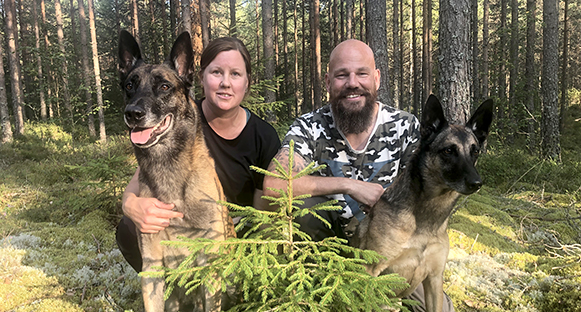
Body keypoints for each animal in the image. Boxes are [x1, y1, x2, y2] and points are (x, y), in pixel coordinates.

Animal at [118, 29, 236, 312]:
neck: (169, 167)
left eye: (164, 87)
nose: (133, 114)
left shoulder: (209, 266)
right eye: (129, 86)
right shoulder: (151, 268)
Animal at [352, 95, 492, 312]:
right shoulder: (371, 271)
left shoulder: (434, 279)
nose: (477, 183)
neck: (426, 218)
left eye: (475, 151)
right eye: (449, 150)